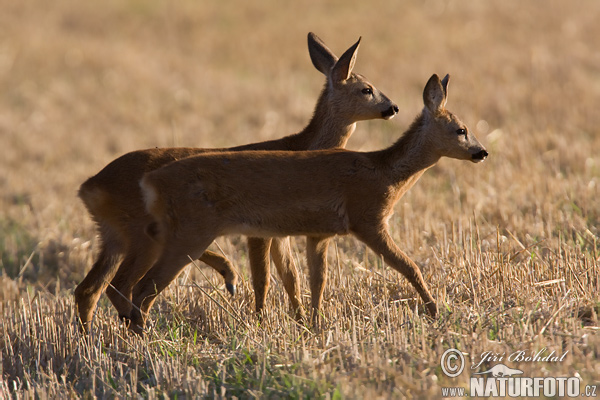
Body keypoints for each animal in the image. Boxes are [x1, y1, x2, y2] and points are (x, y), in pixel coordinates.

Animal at [75, 32, 398, 332]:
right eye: (366, 89)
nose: (393, 107)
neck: (300, 146)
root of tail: (89, 187)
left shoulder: (281, 231)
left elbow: (290, 276)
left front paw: (300, 321)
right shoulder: (260, 229)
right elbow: (264, 278)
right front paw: (262, 321)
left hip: (113, 236)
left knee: (88, 289)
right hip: (139, 233)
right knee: (120, 286)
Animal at [131, 72, 488, 334]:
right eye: (461, 129)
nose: (482, 152)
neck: (383, 173)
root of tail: (151, 182)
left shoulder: (320, 233)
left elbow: (317, 280)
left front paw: (314, 324)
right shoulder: (368, 219)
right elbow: (409, 266)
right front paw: (435, 311)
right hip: (191, 231)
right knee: (142, 287)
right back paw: (141, 338)